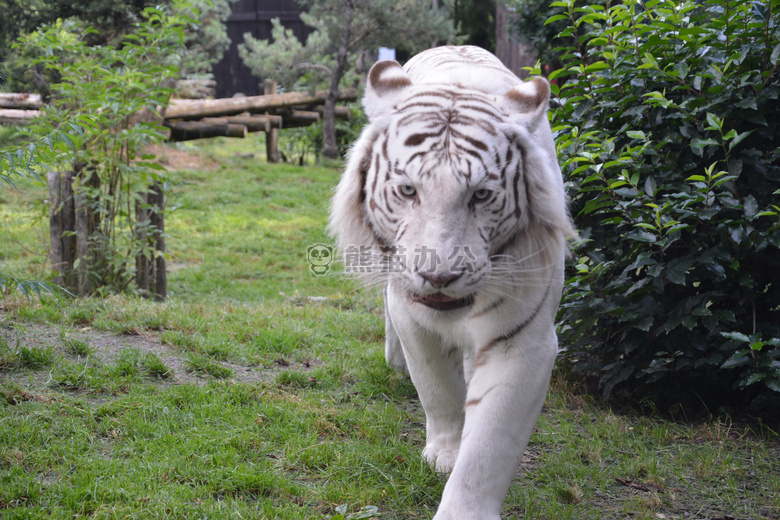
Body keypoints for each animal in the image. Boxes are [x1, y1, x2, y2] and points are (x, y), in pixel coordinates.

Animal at [326, 45, 576, 520]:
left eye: (481, 194)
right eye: (408, 190)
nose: (439, 276)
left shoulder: (525, 340)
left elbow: (489, 445)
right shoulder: (412, 318)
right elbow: (437, 389)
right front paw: (444, 453)